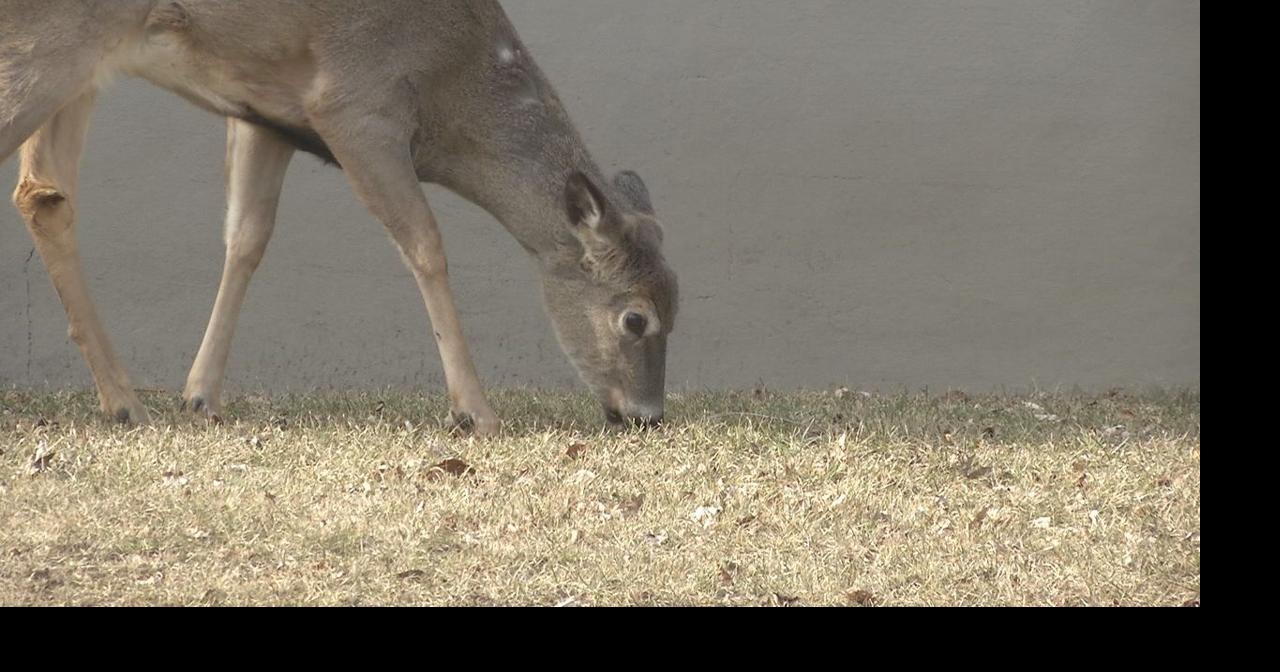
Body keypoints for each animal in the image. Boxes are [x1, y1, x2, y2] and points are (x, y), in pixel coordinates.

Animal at [1, 0, 678, 434]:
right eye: (635, 318)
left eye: (678, 306)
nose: (647, 415)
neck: (450, 85)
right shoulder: (355, 106)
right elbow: (426, 243)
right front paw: (475, 412)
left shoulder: (264, 114)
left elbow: (246, 238)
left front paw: (201, 397)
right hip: (48, 40)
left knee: (43, 192)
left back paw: (124, 403)